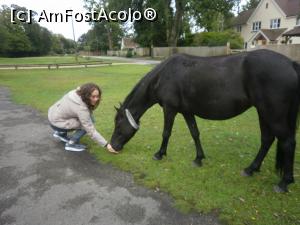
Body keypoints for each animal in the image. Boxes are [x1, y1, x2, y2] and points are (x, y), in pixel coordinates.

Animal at [110, 50, 300, 192]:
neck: (164, 75)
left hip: (273, 114)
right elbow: (195, 133)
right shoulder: (187, 111)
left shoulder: (170, 109)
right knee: (267, 140)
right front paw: (198, 159)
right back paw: (251, 169)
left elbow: (166, 133)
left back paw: (284, 183)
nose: (112, 146)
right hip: (263, 113)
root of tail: (291, 63)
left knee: (288, 143)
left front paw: (159, 154)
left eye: (118, 124)